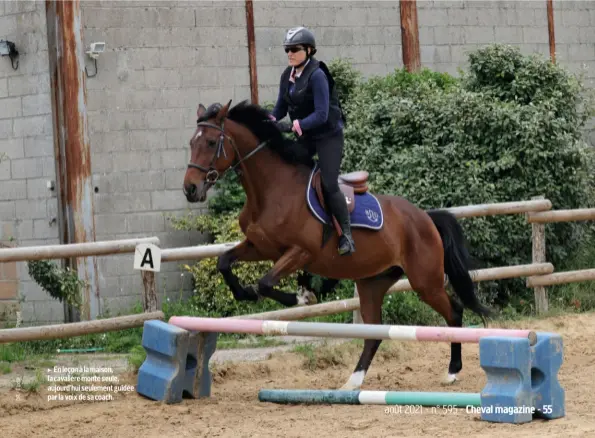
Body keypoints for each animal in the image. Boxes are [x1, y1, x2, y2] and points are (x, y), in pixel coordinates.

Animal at [184, 100, 492, 390]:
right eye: (191, 143)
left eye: (210, 142)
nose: (190, 189)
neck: (270, 190)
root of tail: (425, 218)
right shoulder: (259, 247)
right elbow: (225, 262)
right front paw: (244, 293)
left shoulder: (300, 252)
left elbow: (265, 283)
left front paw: (303, 297)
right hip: (372, 284)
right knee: (374, 333)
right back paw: (353, 381)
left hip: (424, 282)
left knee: (454, 312)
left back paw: (452, 371)